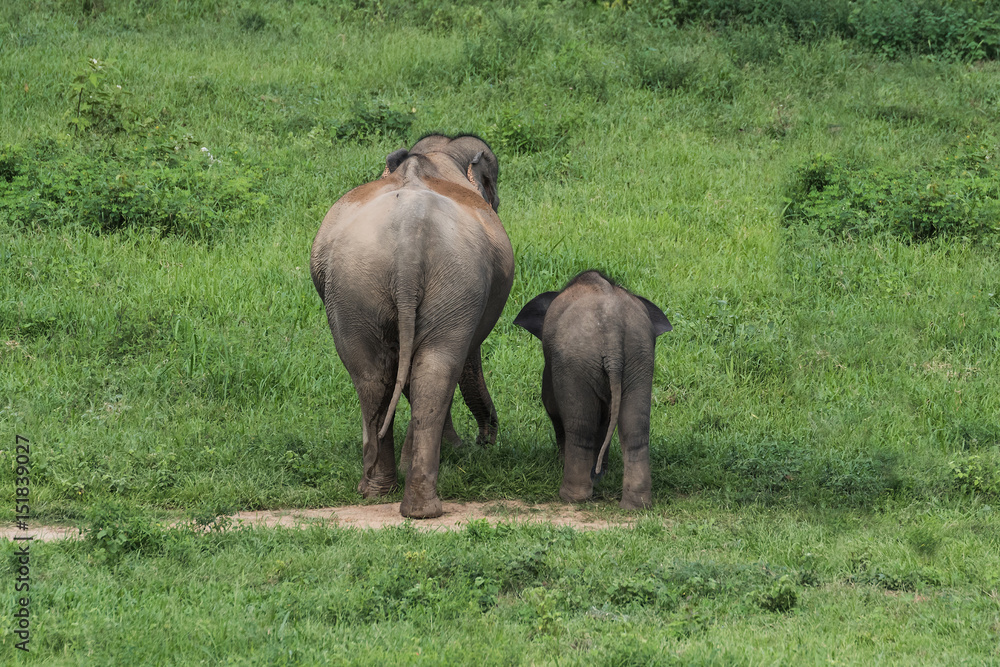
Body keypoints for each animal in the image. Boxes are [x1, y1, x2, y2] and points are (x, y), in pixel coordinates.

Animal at [310, 134, 514, 519]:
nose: (483, 441)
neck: (432, 158)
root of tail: (410, 236)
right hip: (438, 283)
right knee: (431, 369)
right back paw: (409, 499)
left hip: (359, 287)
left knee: (378, 373)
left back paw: (386, 493)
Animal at [513, 271, 672, 509]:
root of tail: (612, 327)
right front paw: (599, 475)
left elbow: (551, 403)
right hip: (639, 358)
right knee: (635, 429)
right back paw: (636, 505)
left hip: (577, 360)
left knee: (581, 427)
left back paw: (572, 497)